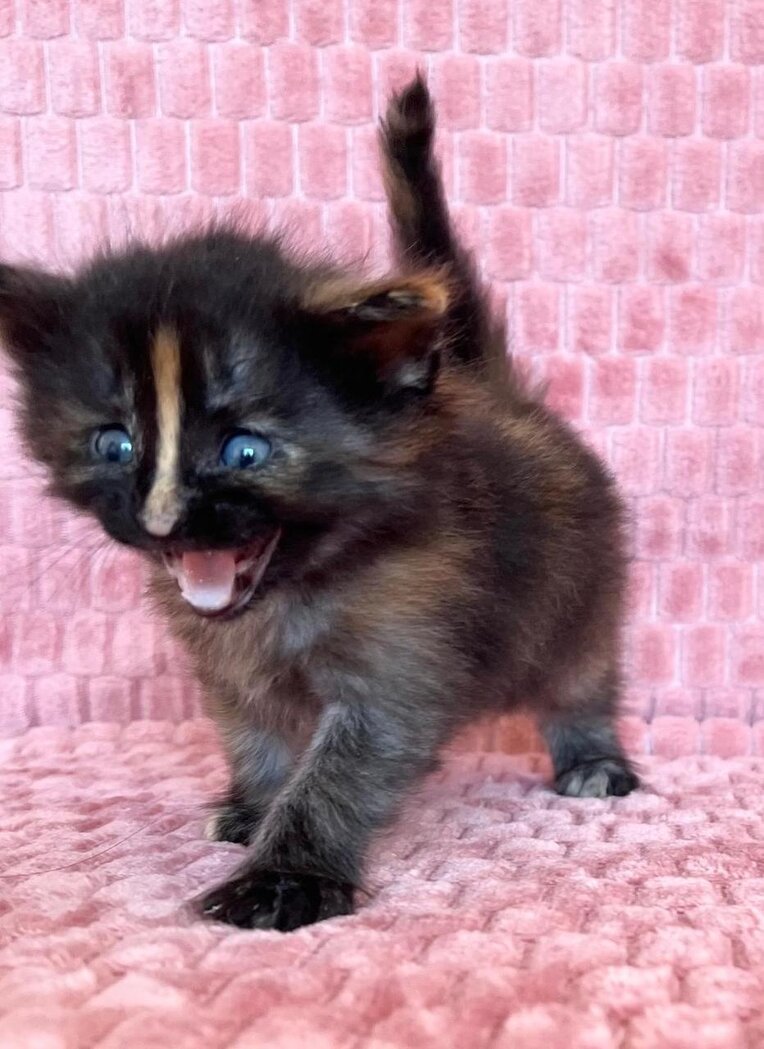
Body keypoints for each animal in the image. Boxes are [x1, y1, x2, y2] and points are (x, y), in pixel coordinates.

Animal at [0, 75, 638, 931]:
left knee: (583, 679)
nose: (161, 517)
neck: (291, 591)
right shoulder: (228, 667)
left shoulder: (403, 656)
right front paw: (253, 808)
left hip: (581, 600)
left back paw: (594, 759)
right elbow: (256, 735)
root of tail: (495, 388)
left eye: (244, 451)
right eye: (114, 444)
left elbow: (338, 775)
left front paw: (284, 877)